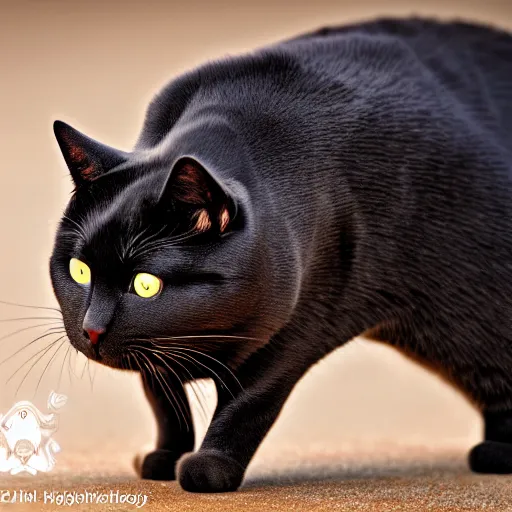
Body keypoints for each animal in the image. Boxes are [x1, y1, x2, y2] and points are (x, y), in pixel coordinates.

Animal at [50, 17, 512, 492]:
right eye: (79, 271)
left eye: (145, 284)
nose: (92, 329)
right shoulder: (158, 348)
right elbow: (161, 395)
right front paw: (165, 456)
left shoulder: (300, 323)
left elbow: (248, 402)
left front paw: (209, 466)